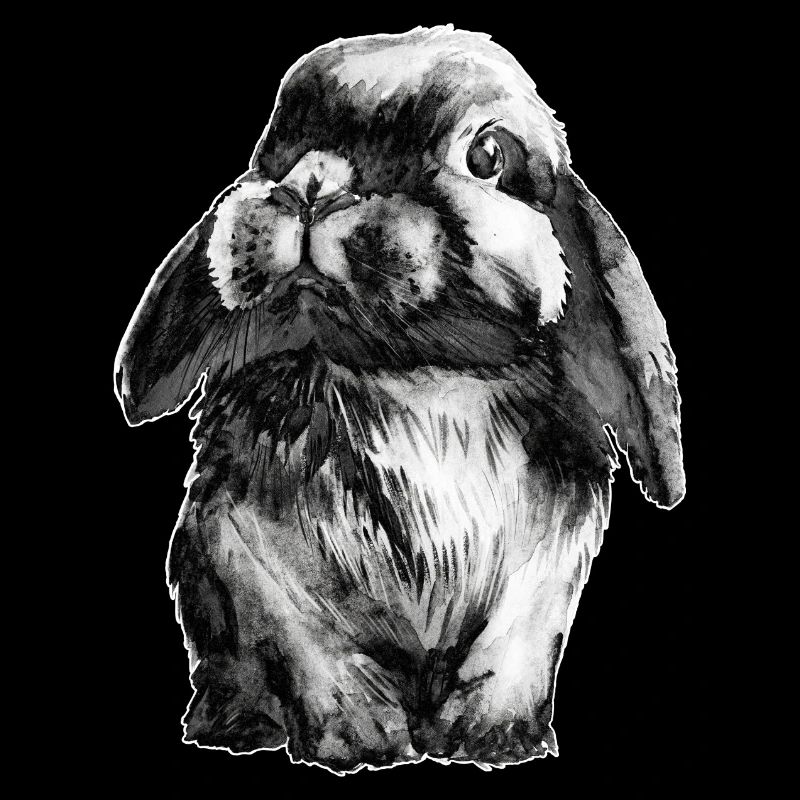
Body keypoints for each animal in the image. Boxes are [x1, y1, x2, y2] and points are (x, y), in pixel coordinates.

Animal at [114, 26, 684, 773]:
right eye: (280, 147)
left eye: (488, 156)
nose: (312, 187)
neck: (415, 379)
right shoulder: (247, 552)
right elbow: (312, 651)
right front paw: (359, 743)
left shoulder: (545, 570)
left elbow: (512, 649)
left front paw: (494, 741)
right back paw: (234, 727)